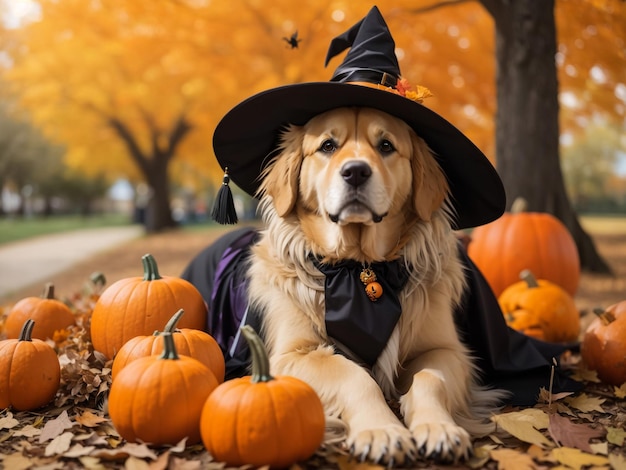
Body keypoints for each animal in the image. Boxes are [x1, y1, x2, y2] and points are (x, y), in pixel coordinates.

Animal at [244, 106, 502, 462]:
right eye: (327, 146)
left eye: (386, 146)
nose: (355, 172)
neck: (360, 269)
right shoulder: (288, 357)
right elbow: (353, 375)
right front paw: (382, 430)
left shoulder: (444, 350)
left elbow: (429, 379)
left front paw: (438, 427)